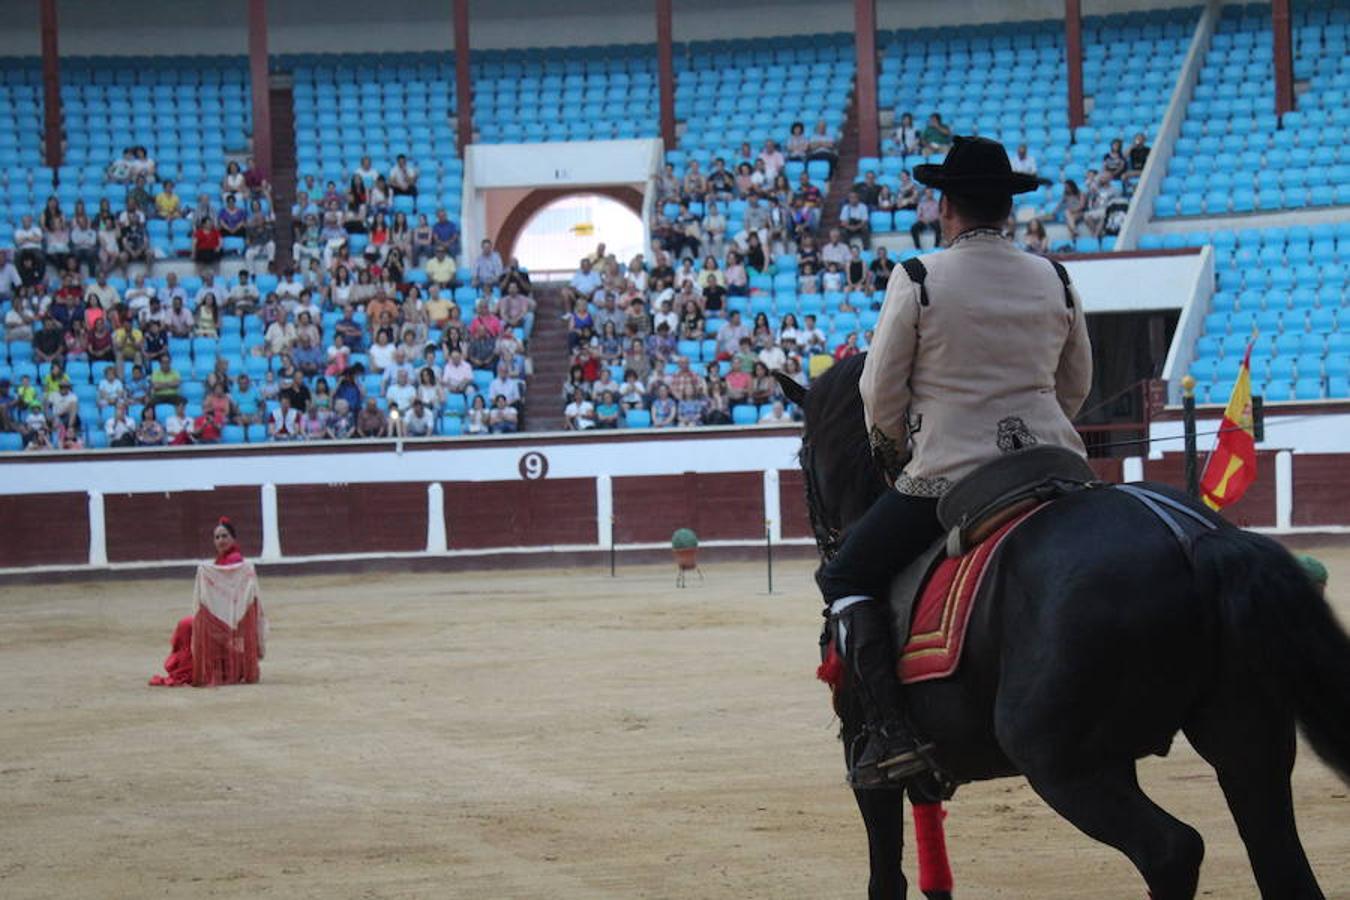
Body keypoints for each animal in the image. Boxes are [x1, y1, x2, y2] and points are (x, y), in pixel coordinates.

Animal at [777, 354, 1350, 899]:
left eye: (801, 456)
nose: (826, 545)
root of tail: (1192, 536)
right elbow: (935, 871)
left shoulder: (866, 761)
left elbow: (886, 876)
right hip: (1247, 744)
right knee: (1279, 861)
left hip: (1055, 762)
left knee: (1172, 850)